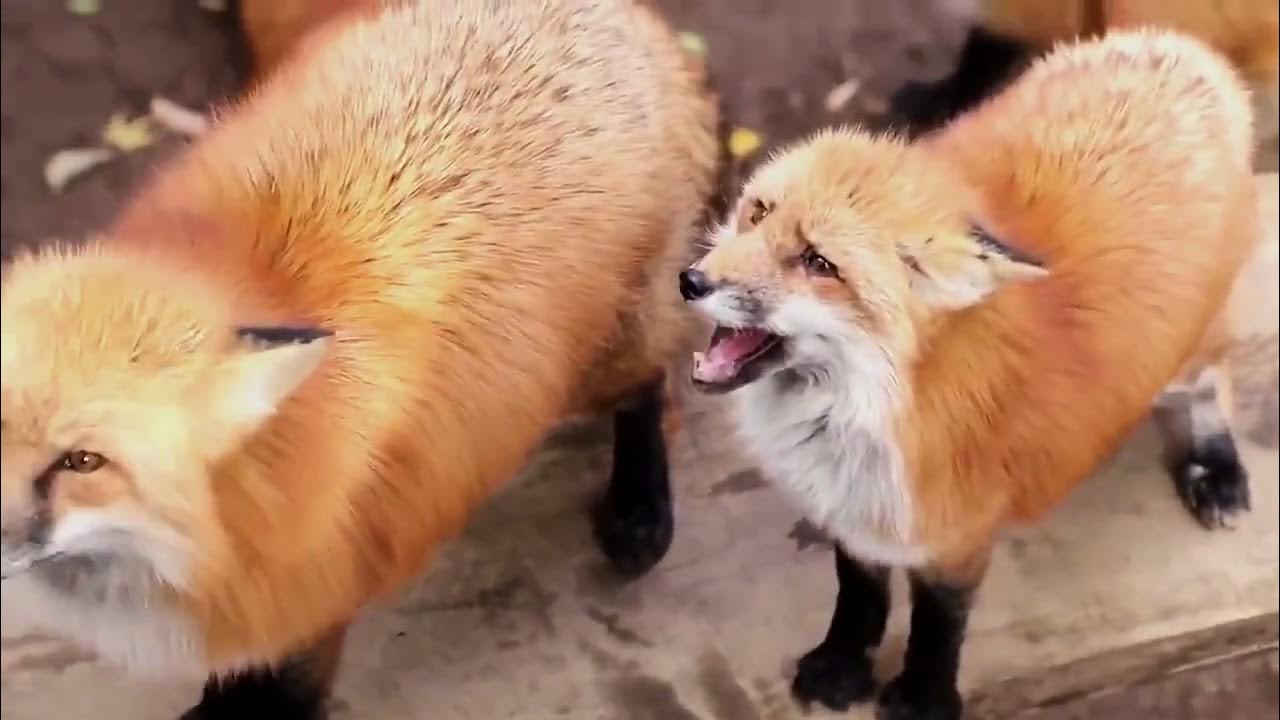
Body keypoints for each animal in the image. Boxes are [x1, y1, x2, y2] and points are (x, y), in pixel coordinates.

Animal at [0, 0, 717, 718]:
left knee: (653, 379)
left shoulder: (308, 602)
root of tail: (623, 16)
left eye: (82, 461)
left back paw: (641, 508)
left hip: (593, 362)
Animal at [678, 30, 1257, 720]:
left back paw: (1216, 468)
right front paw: (843, 665)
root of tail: (1177, 48)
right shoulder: (858, 508)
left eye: (819, 262)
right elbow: (858, 590)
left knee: (1215, 382)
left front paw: (922, 698)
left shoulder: (956, 530)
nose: (691, 281)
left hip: (1188, 354)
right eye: (757, 213)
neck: (868, 410)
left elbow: (937, 624)